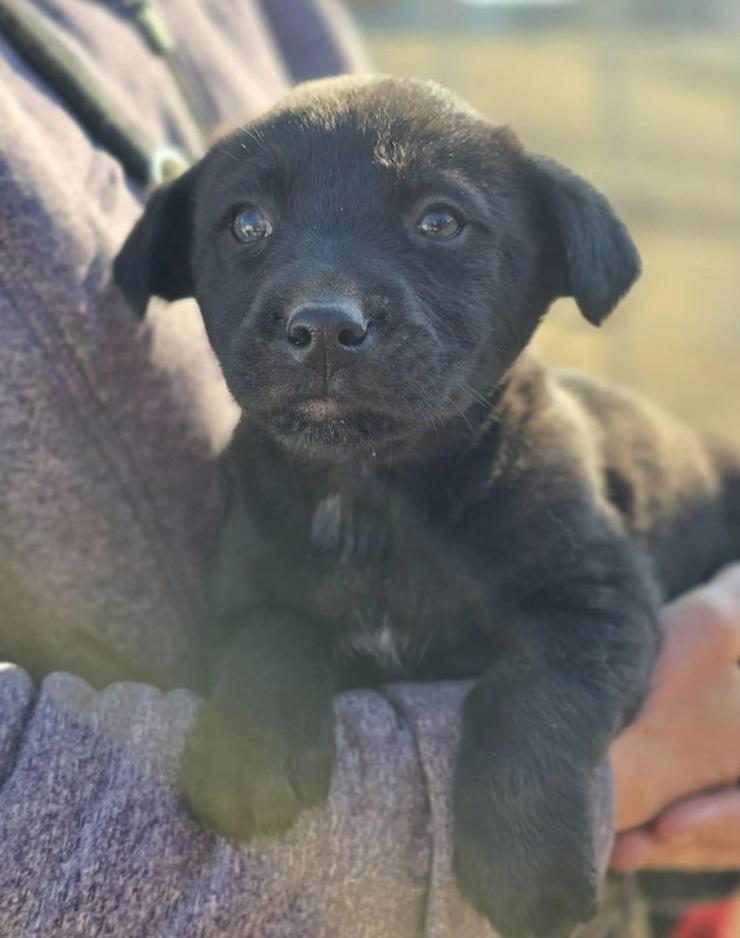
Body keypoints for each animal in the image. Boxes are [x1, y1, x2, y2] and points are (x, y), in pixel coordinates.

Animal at [114, 78, 740, 936]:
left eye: (440, 222)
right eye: (247, 223)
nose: (324, 326)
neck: (373, 494)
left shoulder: (595, 600)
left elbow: (530, 697)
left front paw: (525, 866)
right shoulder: (250, 583)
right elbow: (266, 636)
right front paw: (247, 752)